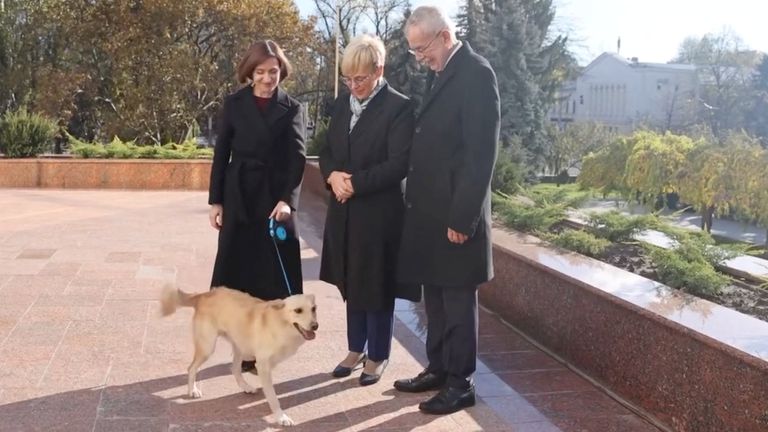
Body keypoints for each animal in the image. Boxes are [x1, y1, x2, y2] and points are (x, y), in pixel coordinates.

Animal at [160, 286, 320, 426]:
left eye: (314, 308)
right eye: (298, 310)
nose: (315, 326)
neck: (281, 324)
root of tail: (205, 294)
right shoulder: (263, 366)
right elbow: (273, 398)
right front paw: (281, 417)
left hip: (239, 346)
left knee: (235, 368)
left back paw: (246, 386)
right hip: (207, 347)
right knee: (192, 368)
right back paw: (192, 390)